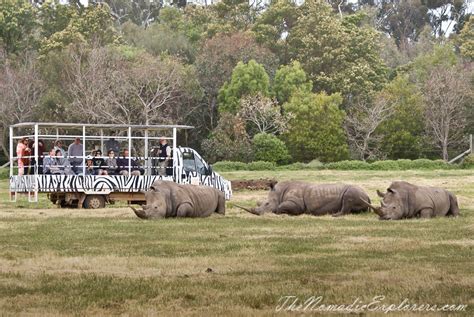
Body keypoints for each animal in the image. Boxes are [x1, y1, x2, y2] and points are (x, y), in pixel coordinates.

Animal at [235, 180, 368, 215]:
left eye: (267, 204)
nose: (258, 213)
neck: (278, 193)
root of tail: (367, 196)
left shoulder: (296, 203)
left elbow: (280, 206)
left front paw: (281, 212)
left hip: (354, 191)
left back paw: (334, 215)